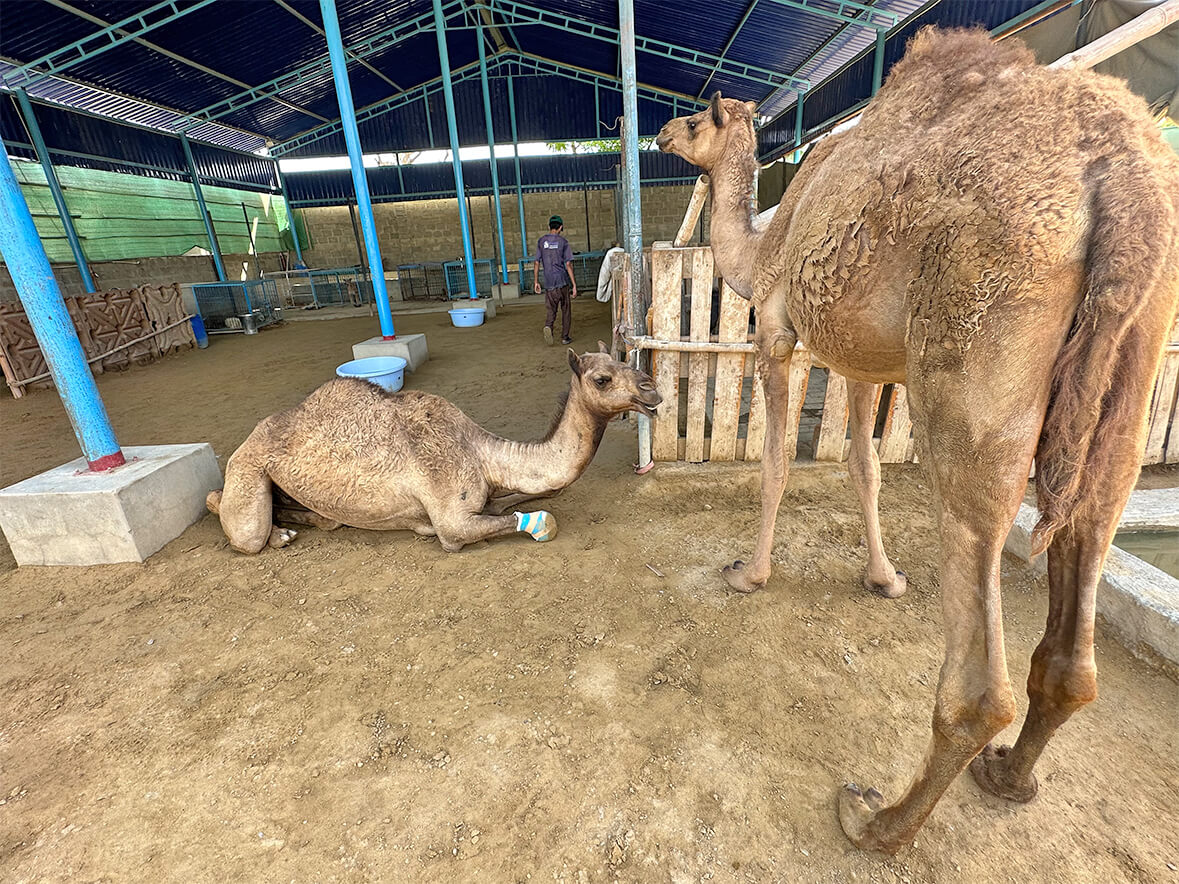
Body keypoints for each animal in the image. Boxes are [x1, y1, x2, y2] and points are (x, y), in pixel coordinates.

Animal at [207, 344, 661, 554]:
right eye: (602, 378)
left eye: (625, 359)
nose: (652, 389)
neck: (482, 455)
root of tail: (252, 436)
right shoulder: (451, 519)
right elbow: (543, 520)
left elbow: (521, 499)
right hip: (248, 467)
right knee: (238, 522)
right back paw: (277, 535)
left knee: (320, 517)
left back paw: (295, 526)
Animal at [656, 27, 1179, 853]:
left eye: (691, 121)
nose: (655, 133)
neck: (761, 243)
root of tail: (1129, 178)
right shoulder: (863, 359)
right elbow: (862, 466)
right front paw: (881, 577)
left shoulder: (777, 332)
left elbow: (775, 462)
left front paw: (750, 573)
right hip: (1135, 362)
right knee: (1087, 558)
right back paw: (1006, 776)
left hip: (976, 342)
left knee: (976, 655)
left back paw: (878, 820)